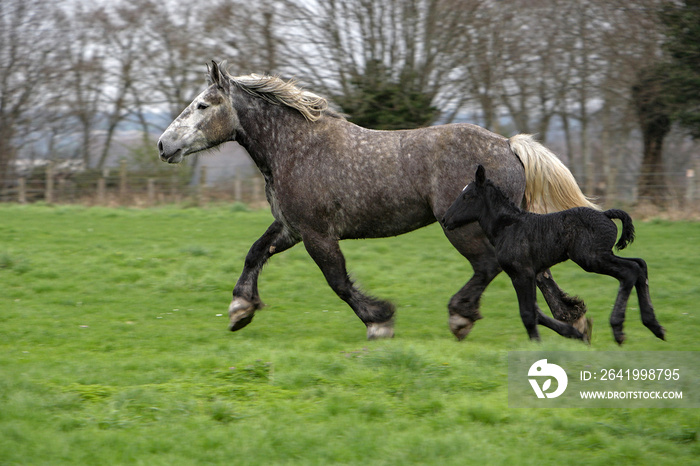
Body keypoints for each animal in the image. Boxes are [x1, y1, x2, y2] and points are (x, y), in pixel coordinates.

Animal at [442, 166, 668, 344]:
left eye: (467, 196)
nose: (445, 220)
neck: (508, 227)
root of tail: (605, 214)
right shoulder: (525, 274)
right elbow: (536, 311)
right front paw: (575, 333)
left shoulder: (522, 273)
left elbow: (528, 313)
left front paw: (536, 344)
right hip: (602, 255)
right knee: (640, 265)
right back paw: (654, 326)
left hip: (592, 258)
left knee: (630, 271)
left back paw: (618, 329)